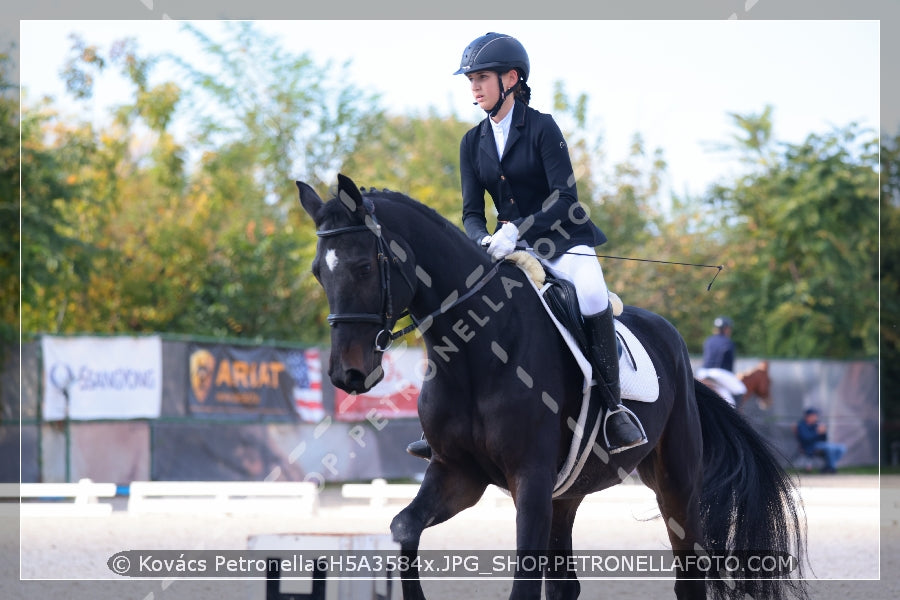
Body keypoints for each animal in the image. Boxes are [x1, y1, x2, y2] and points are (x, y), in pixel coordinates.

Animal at [298, 173, 808, 600]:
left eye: (364, 267)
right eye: (319, 272)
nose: (348, 374)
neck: (475, 352)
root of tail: (674, 340)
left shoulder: (531, 480)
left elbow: (523, 584)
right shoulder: (458, 472)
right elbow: (404, 527)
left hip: (677, 483)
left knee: (690, 576)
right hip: (568, 493)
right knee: (566, 585)